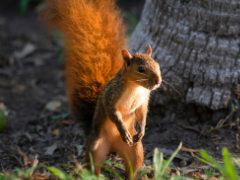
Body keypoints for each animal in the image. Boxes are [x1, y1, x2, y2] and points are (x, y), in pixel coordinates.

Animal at [43, 0, 161, 179]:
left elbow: (142, 114)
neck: (136, 87)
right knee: (94, 165)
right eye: (141, 69)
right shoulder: (111, 97)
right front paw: (123, 130)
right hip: (97, 146)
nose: (158, 81)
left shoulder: (143, 101)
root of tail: (113, 147)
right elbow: (113, 112)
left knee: (132, 165)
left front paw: (141, 131)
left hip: (135, 150)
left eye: (157, 65)